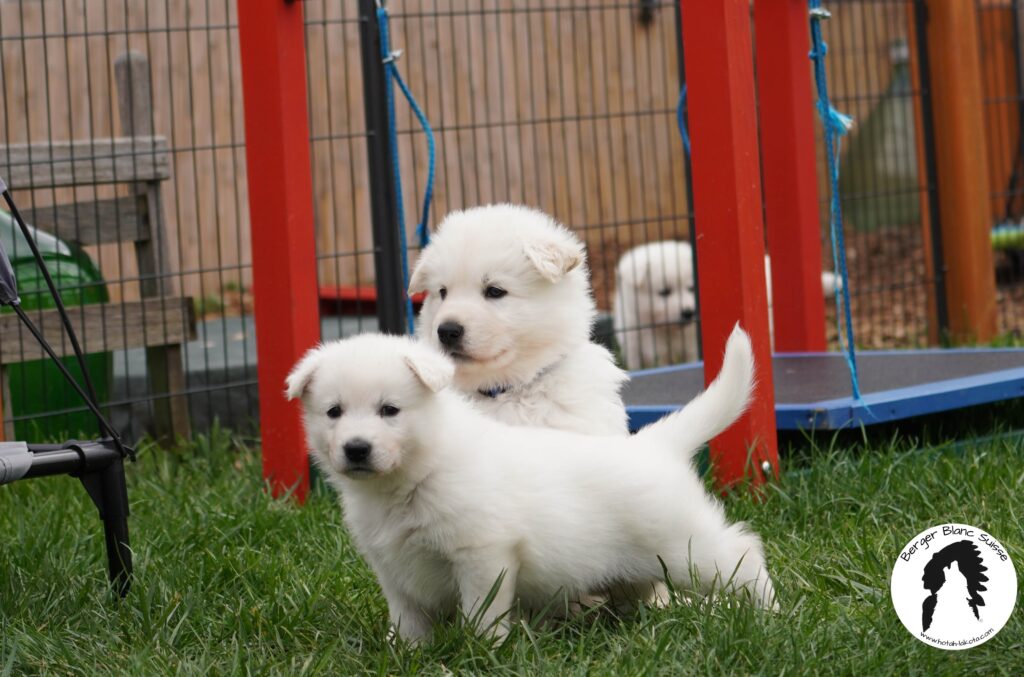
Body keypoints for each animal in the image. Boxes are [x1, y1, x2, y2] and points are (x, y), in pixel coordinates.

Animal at [286, 325, 774, 643]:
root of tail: (654, 444)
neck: (417, 474)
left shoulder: (482, 554)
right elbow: (408, 621)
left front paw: (484, 651)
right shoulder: (393, 569)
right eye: (333, 412)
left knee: (743, 553)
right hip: (638, 567)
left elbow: (481, 614)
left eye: (389, 410)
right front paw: (406, 653)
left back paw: (771, 614)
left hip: (684, 547)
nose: (356, 449)